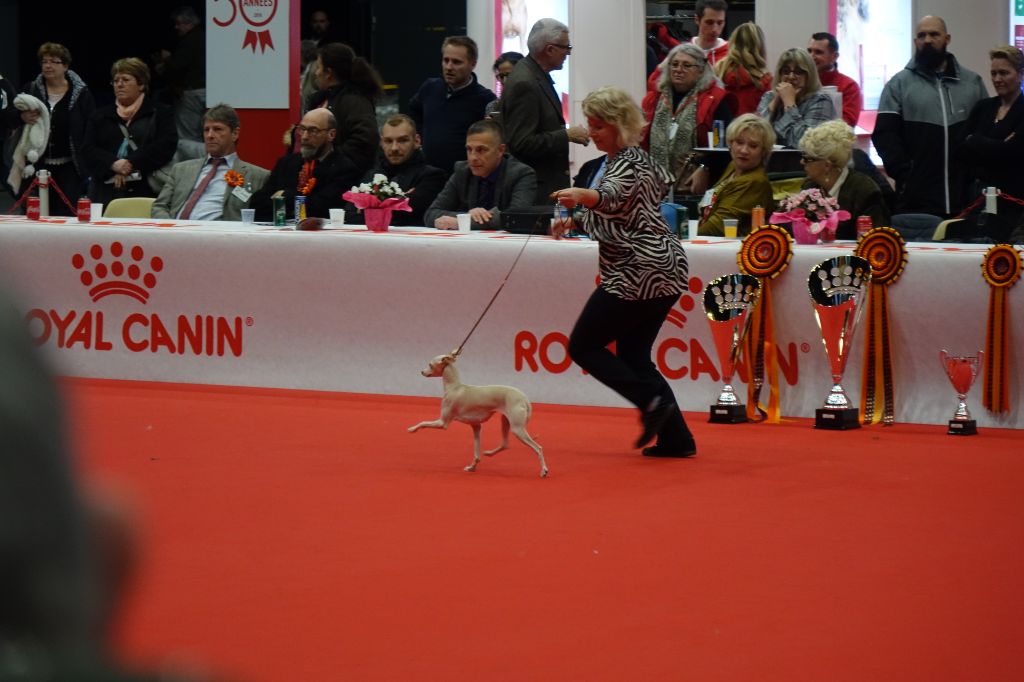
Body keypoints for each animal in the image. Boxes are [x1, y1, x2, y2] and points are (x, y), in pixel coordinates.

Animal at [409, 352, 552, 475]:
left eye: (430, 364)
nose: (421, 372)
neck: (455, 387)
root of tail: (524, 398)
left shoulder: (442, 423)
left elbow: (423, 422)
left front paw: (412, 429)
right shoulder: (476, 426)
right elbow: (476, 453)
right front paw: (472, 467)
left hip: (517, 429)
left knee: (538, 448)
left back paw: (544, 470)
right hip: (506, 422)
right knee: (505, 444)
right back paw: (489, 453)